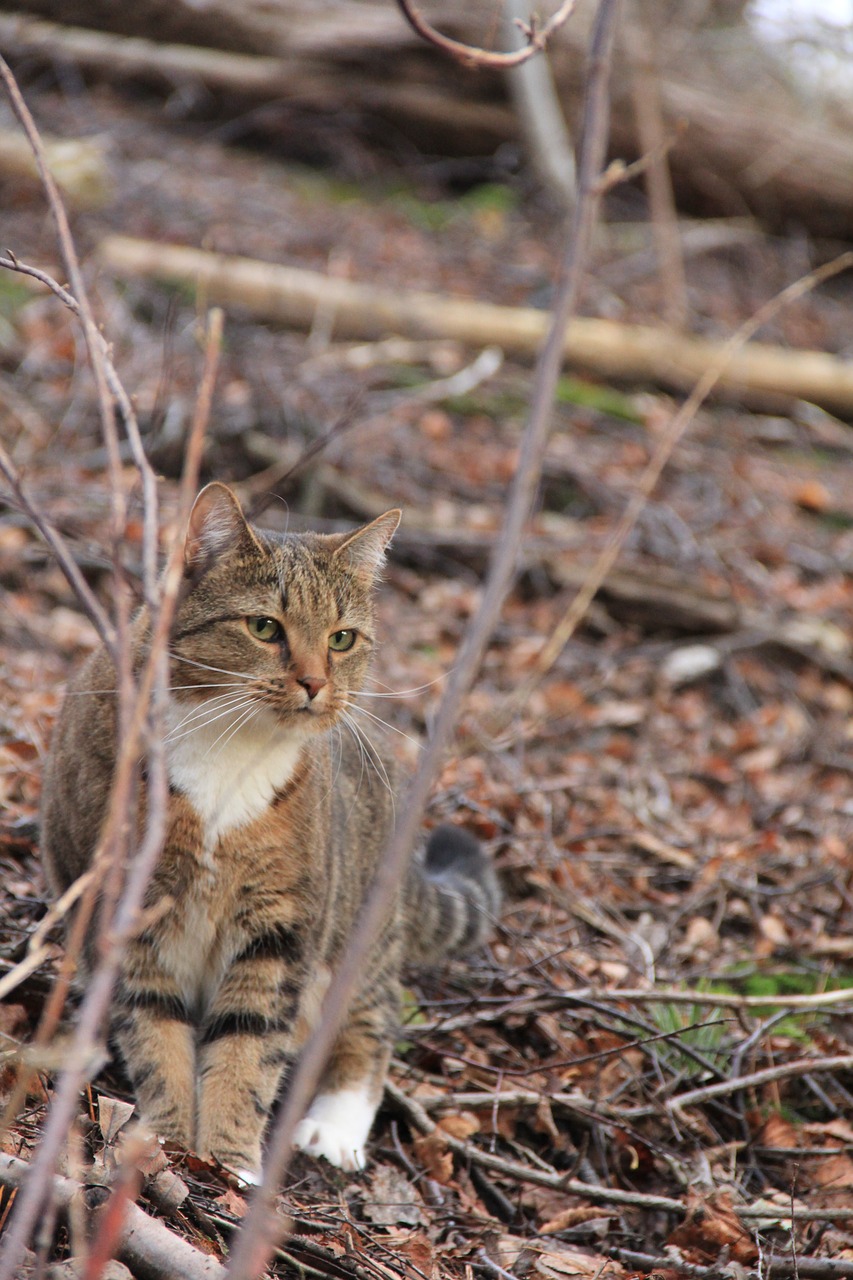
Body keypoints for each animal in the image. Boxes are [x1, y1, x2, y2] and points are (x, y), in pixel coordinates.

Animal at [41, 481, 499, 1177]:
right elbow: (156, 1030)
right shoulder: (131, 909)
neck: (231, 750)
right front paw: (170, 1143)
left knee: (374, 1017)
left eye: (342, 638)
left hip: (359, 931)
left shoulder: (282, 925)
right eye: (264, 628)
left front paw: (228, 1160)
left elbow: (248, 1048)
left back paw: (334, 1125)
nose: (315, 683)